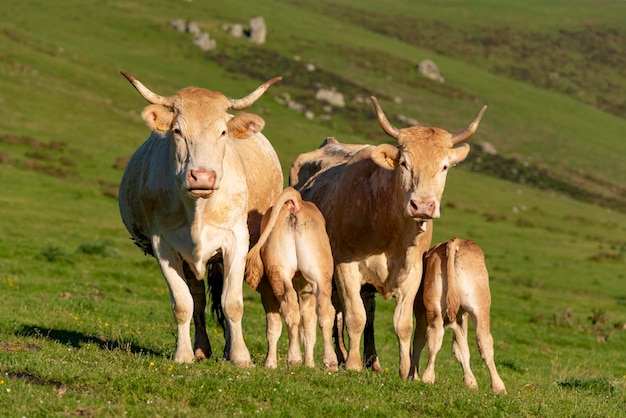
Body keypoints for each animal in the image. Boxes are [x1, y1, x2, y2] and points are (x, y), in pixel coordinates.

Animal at [117, 72, 282, 366]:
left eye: (223, 132)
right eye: (177, 131)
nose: (202, 176)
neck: (198, 209)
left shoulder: (236, 241)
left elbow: (232, 303)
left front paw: (241, 356)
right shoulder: (163, 245)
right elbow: (183, 304)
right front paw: (183, 354)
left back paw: (228, 349)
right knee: (198, 299)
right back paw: (202, 349)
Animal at [245, 188, 338, 370]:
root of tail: (296, 202)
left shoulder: (267, 291)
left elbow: (273, 326)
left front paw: (270, 363)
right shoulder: (307, 291)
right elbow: (308, 327)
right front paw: (310, 364)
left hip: (278, 272)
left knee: (290, 309)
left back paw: (293, 358)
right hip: (320, 273)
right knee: (324, 311)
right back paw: (330, 361)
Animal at [290, 98, 486, 378]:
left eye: (444, 166)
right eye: (404, 163)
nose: (422, 205)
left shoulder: (413, 272)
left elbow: (402, 324)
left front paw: (405, 371)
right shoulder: (345, 266)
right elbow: (355, 317)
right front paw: (352, 364)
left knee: (364, 313)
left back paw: (371, 361)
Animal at [410, 237, 508, 394]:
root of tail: (455, 241)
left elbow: (421, 343)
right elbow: (460, 348)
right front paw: (471, 382)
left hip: (435, 306)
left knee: (434, 336)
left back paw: (428, 377)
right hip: (480, 307)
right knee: (484, 342)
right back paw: (498, 386)